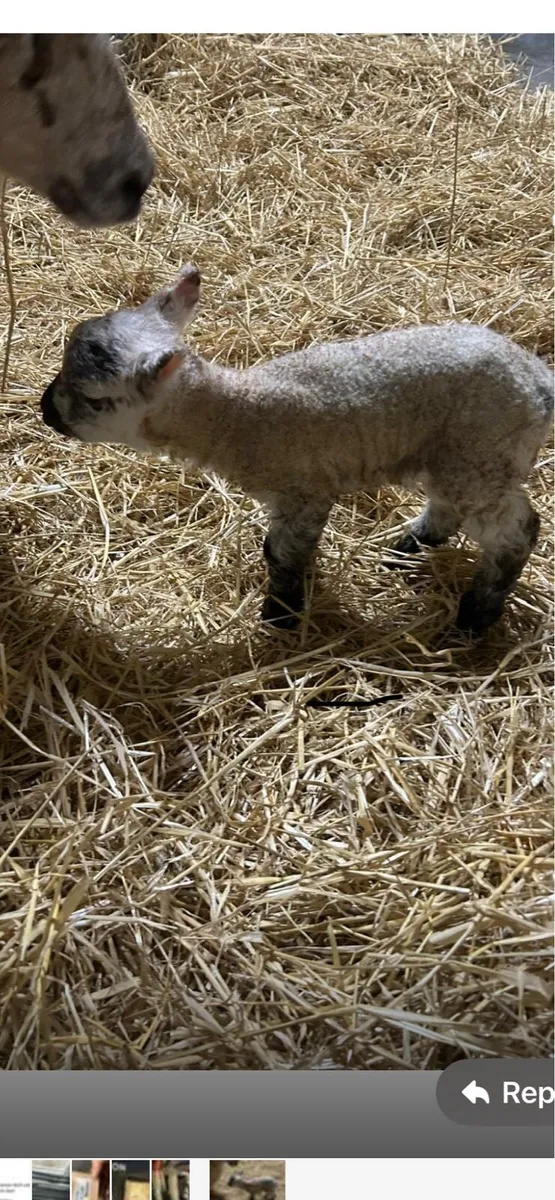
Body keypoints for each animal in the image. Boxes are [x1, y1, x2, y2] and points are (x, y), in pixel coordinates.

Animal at [40, 264, 553, 636]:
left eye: (93, 398)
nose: (46, 410)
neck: (238, 412)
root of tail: (539, 382)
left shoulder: (303, 491)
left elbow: (282, 553)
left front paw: (281, 614)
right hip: (458, 454)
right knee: (450, 505)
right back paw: (408, 548)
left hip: (482, 452)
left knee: (517, 531)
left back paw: (476, 615)